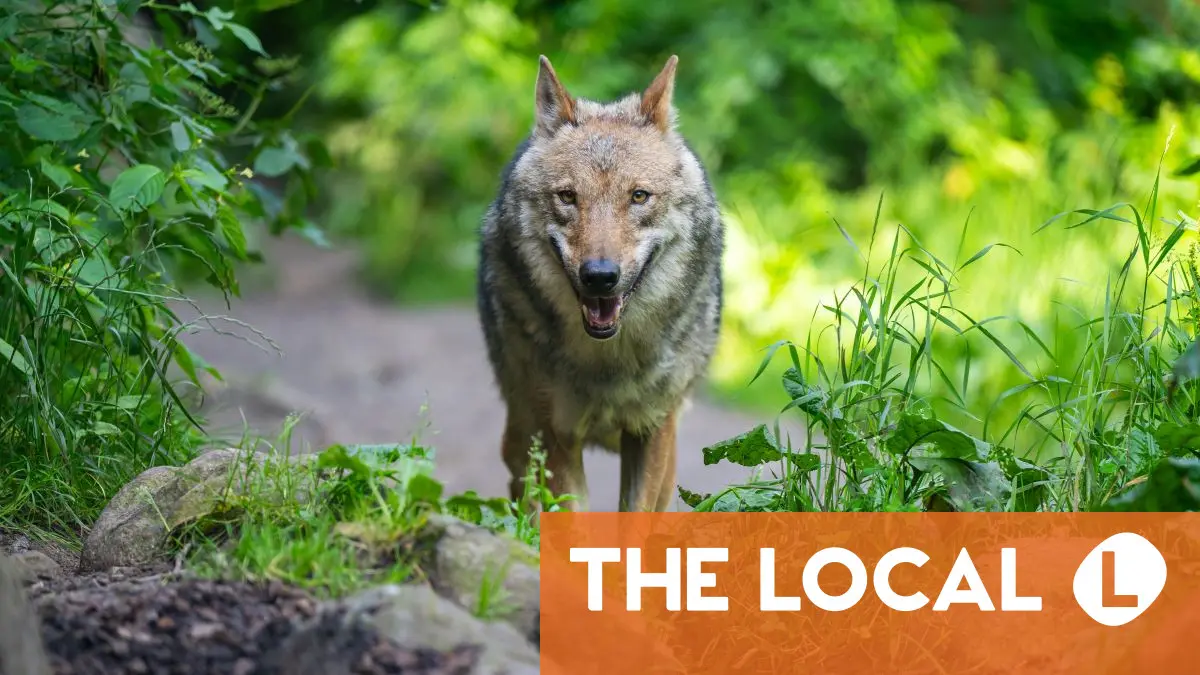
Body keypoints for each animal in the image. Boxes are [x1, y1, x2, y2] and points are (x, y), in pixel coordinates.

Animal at [476, 54, 724, 512]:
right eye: (568, 197)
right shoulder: (555, 435)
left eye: (639, 196)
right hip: (521, 440)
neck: (608, 362)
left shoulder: (651, 431)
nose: (600, 276)